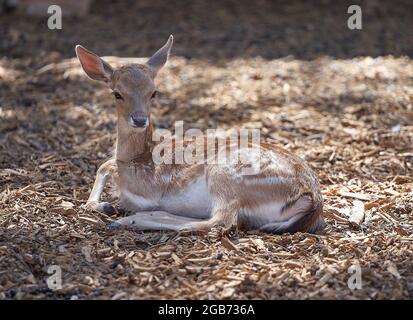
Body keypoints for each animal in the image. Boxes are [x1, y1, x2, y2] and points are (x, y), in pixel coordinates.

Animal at [75, 36, 324, 234]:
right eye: (117, 93)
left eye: (153, 92)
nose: (139, 119)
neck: (140, 157)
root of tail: (311, 201)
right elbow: (105, 165)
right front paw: (103, 205)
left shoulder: (148, 188)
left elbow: (108, 165)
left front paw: (111, 207)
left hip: (227, 173)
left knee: (221, 220)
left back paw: (130, 220)